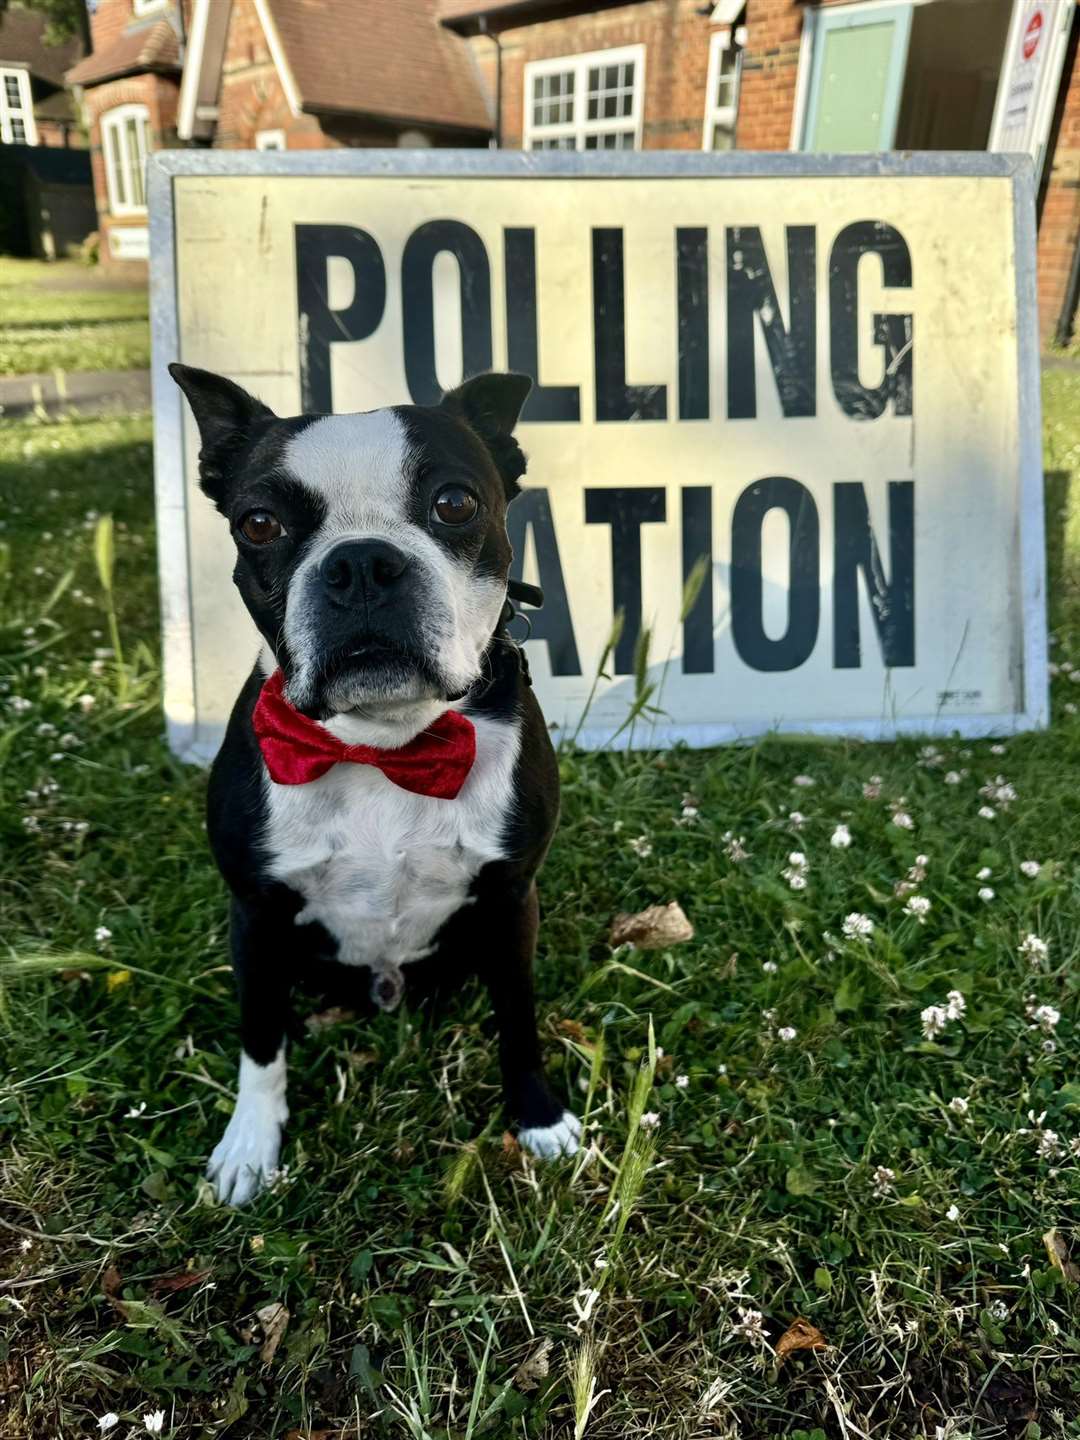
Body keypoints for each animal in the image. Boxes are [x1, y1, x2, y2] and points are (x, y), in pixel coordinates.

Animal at [169, 362, 578, 1203]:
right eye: (259, 524)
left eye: (454, 503)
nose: (359, 563)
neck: (384, 744)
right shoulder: (255, 914)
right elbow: (260, 1039)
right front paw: (250, 1144)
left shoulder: (511, 900)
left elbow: (518, 1016)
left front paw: (537, 1116)